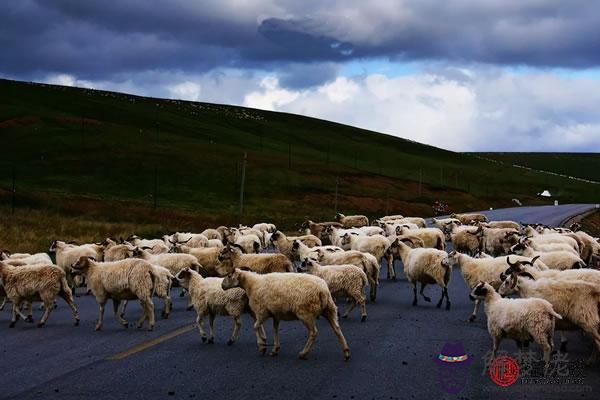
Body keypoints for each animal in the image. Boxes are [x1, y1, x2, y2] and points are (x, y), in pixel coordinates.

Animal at [221, 268, 352, 360]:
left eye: (229, 276)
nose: (222, 286)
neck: (252, 284)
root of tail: (323, 291)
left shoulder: (262, 312)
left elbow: (255, 326)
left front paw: (262, 346)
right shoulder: (276, 314)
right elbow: (275, 330)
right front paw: (275, 349)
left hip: (305, 313)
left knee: (314, 333)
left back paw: (303, 353)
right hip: (329, 309)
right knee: (337, 329)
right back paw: (346, 352)